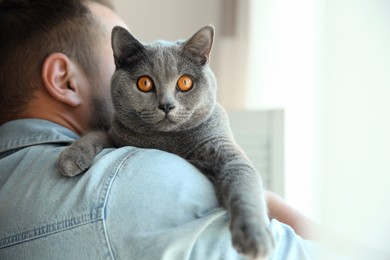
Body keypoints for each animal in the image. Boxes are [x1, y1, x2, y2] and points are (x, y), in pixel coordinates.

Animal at [58, 25, 274, 258]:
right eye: (145, 83)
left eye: (185, 82)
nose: (166, 105)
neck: (166, 140)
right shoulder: (116, 137)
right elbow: (97, 134)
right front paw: (71, 156)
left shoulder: (225, 151)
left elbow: (243, 183)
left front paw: (255, 236)